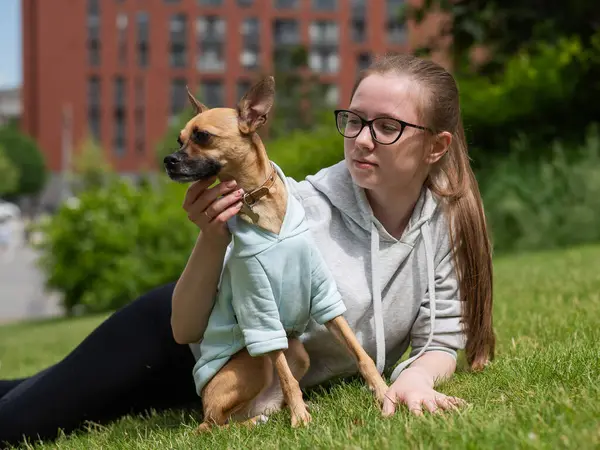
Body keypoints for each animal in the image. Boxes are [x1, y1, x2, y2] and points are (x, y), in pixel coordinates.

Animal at [164, 76, 390, 432]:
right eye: (180, 139)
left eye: (202, 136)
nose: (169, 160)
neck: (258, 201)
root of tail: (205, 406)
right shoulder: (261, 312)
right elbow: (285, 376)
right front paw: (300, 418)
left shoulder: (325, 298)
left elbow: (359, 352)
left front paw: (383, 392)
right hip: (252, 364)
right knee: (217, 424)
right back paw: (269, 417)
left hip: (297, 352)